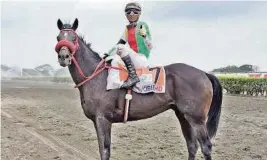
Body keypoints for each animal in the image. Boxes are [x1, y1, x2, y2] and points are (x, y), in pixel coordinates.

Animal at [54, 17, 224, 160]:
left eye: (74, 38)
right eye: (58, 38)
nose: (63, 57)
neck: (95, 77)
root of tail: (203, 73)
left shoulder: (103, 118)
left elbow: (105, 150)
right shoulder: (97, 121)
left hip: (197, 119)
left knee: (206, 146)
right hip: (183, 115)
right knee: (192, 145)